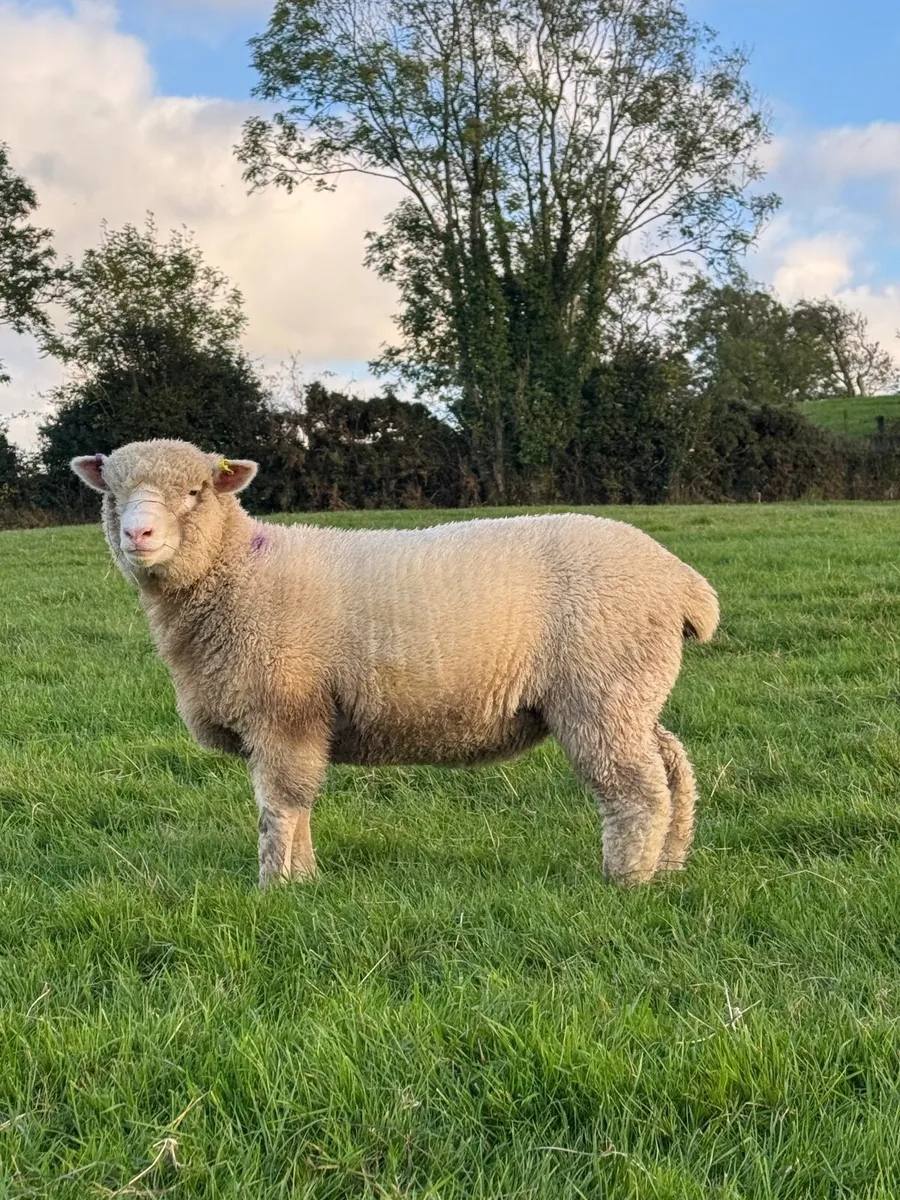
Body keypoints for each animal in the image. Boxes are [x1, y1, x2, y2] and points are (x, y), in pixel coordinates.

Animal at [71, 438, 719, 888]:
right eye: (112, 494)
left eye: (195, 492)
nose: (138, 534)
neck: (235, 573)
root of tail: (682, 581)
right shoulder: (301, 719)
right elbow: (301, 803)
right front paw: (307, 879)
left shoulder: (284, 708)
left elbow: (279, 806)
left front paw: (275, 885)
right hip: (632, 689)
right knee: (673, 765)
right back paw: (671, 864)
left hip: (601, 688)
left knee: (637, 788)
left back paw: (627, 880)